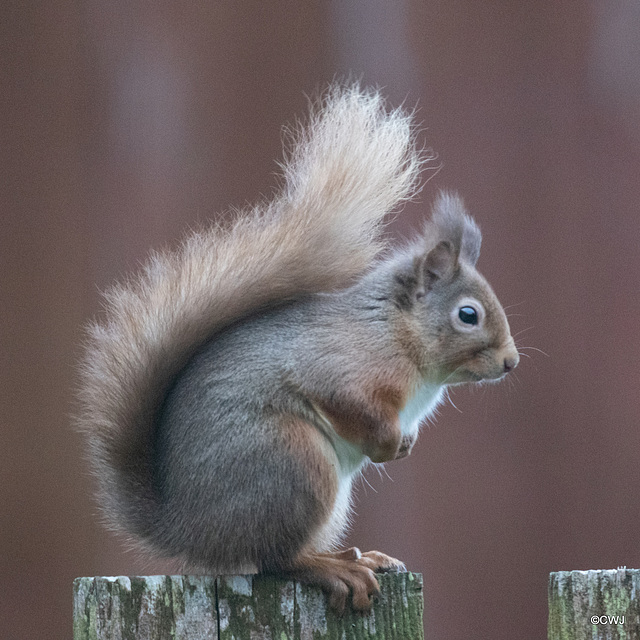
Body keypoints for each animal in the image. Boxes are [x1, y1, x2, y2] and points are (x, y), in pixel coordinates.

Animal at [79, 82, 520, 612]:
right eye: (468, 315)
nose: (512, 362)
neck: (397, 335)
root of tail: (188, 529)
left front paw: (405, 443)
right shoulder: (341, 370)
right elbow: (351, 407)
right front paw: (388, 444)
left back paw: (359, 556)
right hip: (293, 464)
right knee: (275, 560)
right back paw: (335, 568)